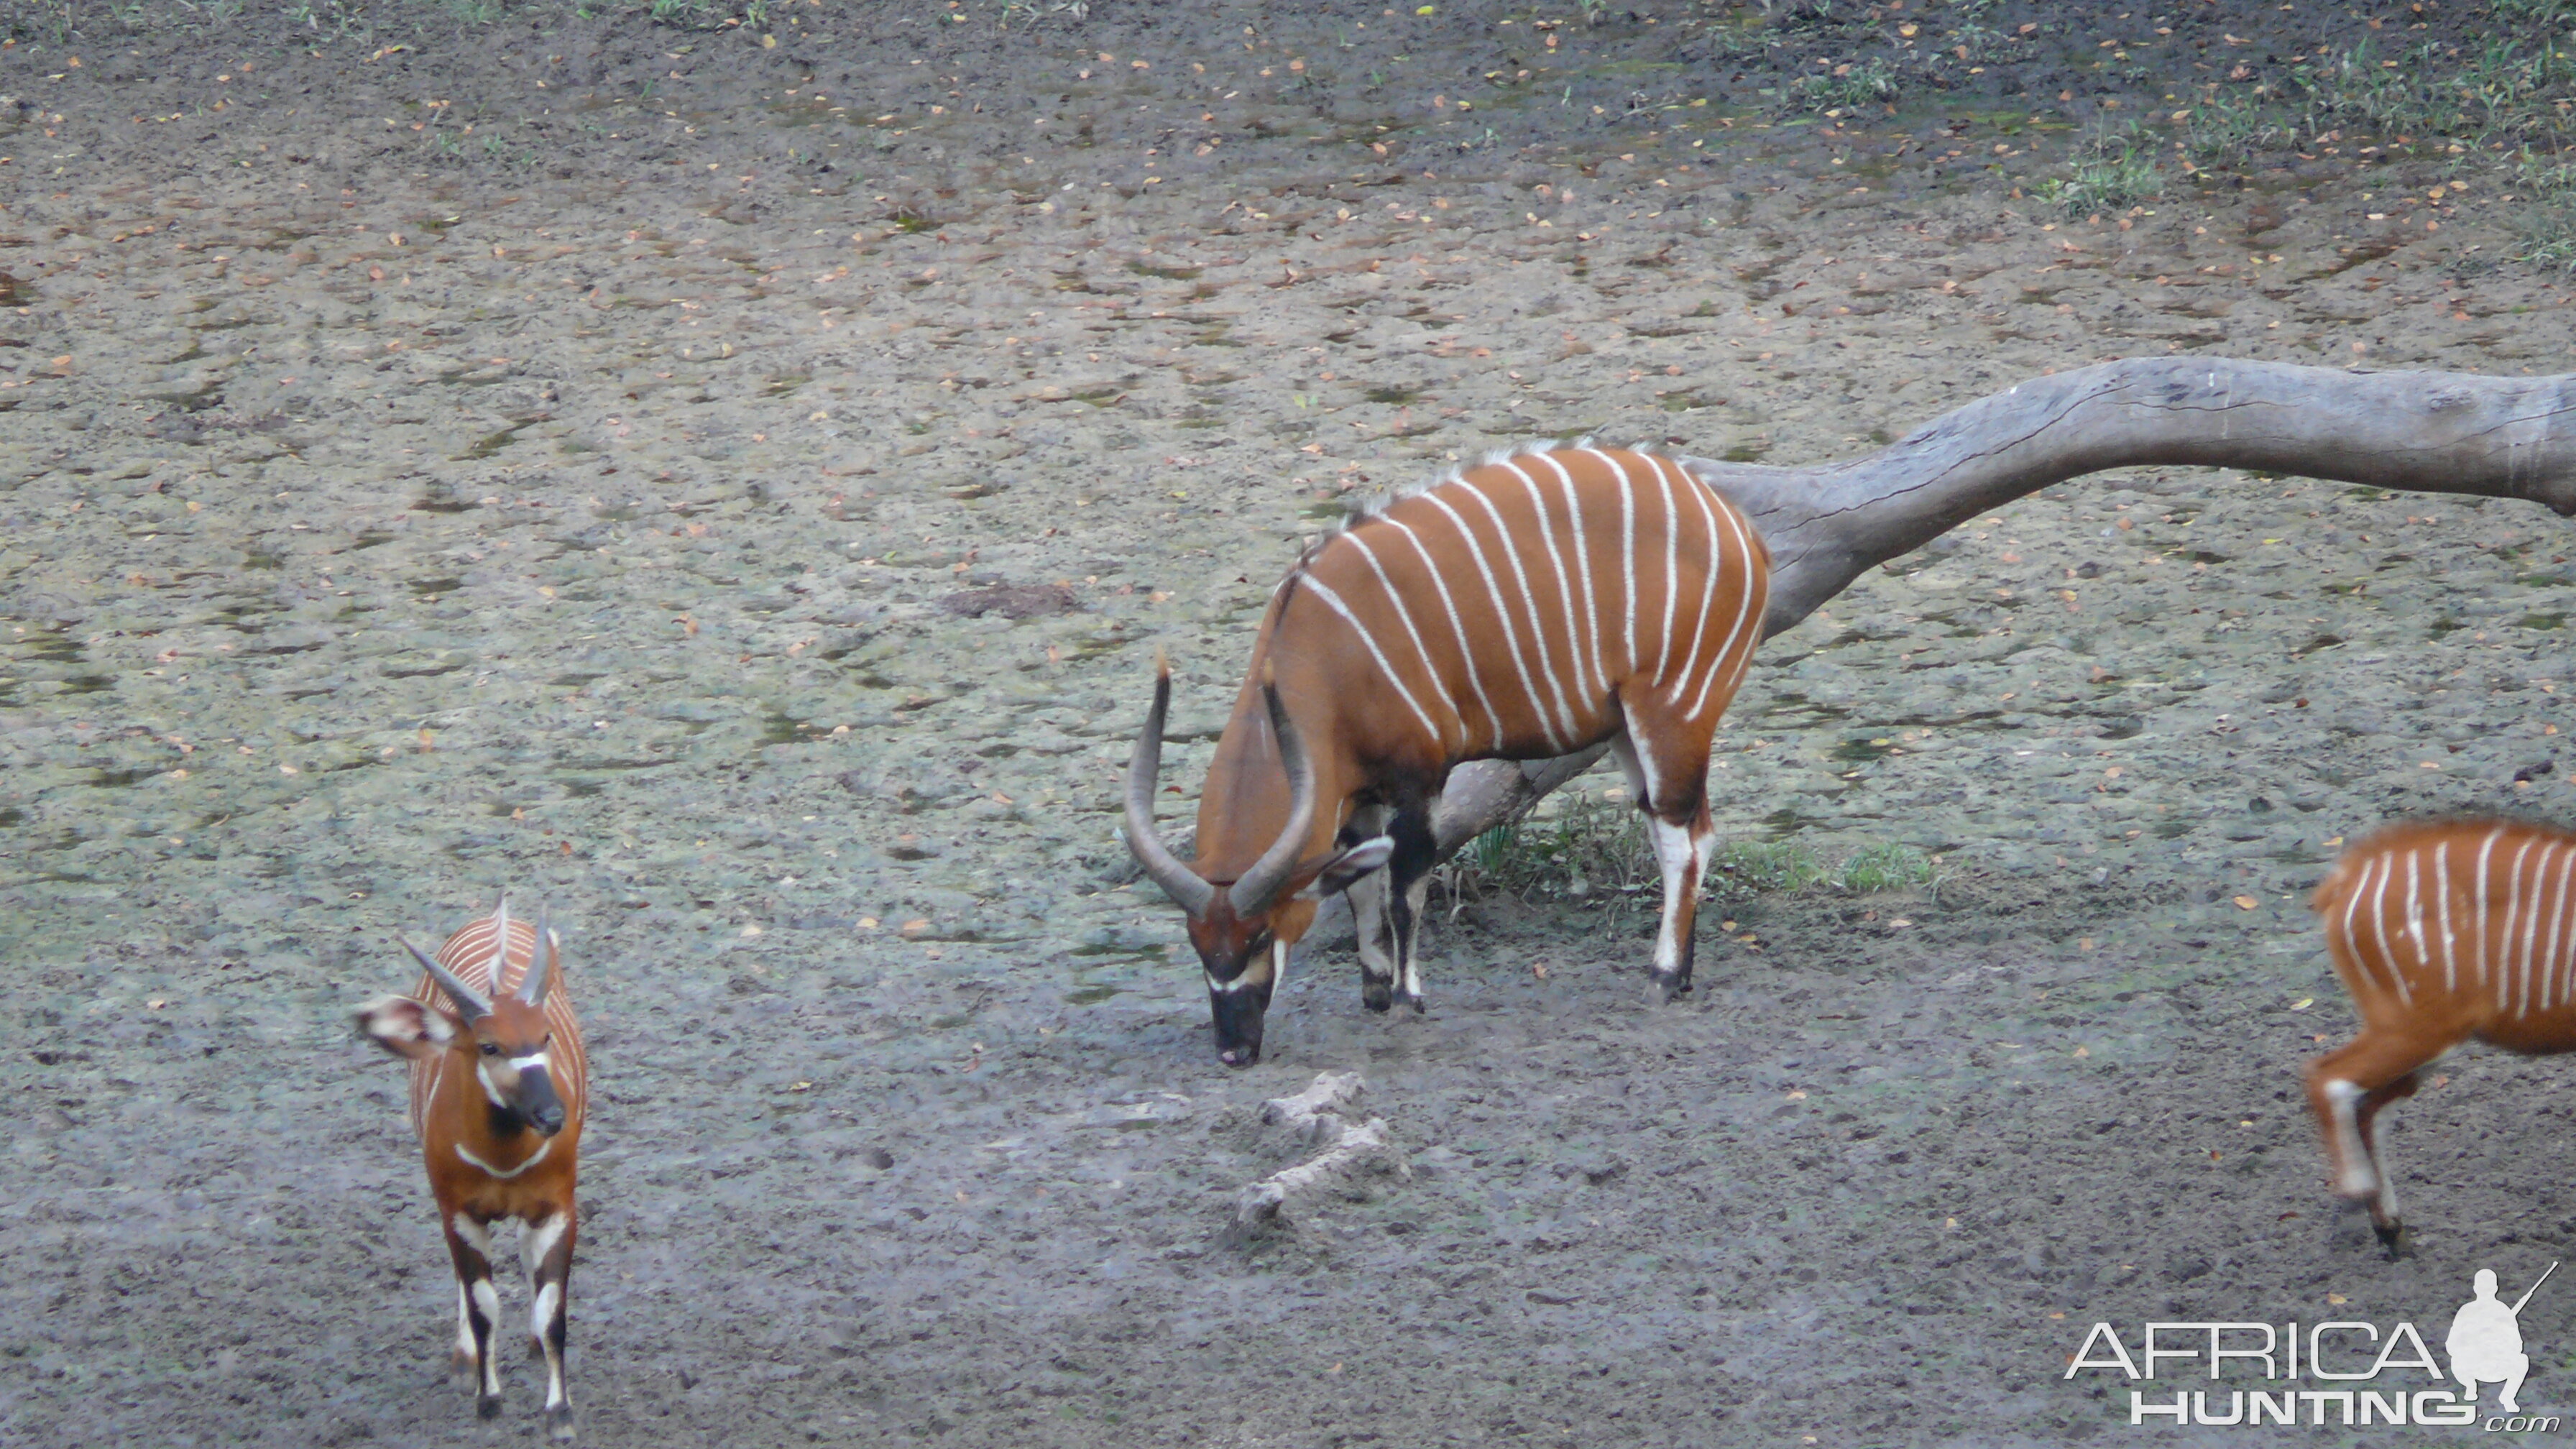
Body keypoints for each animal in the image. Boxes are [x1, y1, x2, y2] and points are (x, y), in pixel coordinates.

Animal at [358, 897, 589, 1423]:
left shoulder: (557, 1207)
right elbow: (483, 1306)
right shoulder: (460, 1213)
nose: (552, 1115)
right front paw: (487, 1399)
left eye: (545, 1037)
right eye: (489, 1046)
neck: (503, 1159)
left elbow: (553, 1313)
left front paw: (560, 1415)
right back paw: (465, 1361)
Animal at [1128, 441, 1772, 1062]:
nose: (1234, 1050)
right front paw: (1374, 991)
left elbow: (1404, 890)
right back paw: (1682, 974)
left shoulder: (1420, 778)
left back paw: (1663, 978)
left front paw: (1407, 997)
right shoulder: (1359, 793)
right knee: (1689, 831)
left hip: (1671, 711)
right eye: (1196, 942)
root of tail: (1737, 527)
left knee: (1680, 838)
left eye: (1260, 934)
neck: (1322, 655)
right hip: (1627, 729)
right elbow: (1360, 885)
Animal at [2318, 819, 2576, 1248]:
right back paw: (2358, 1194)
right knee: (2327, 1077)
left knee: (2368, 1107)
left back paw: (2390, 1229)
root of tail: (2346, 879)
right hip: (2419, 1031)